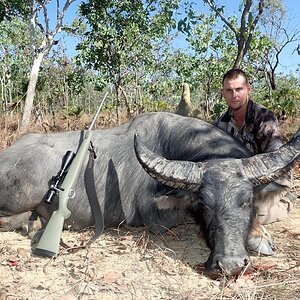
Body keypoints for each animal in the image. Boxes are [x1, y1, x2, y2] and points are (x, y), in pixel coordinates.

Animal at [0, 112, 298, 276]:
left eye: (247, 200)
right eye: (204, 204)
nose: (231, 265)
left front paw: (259, 235)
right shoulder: (154, 219)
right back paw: (34, 225)